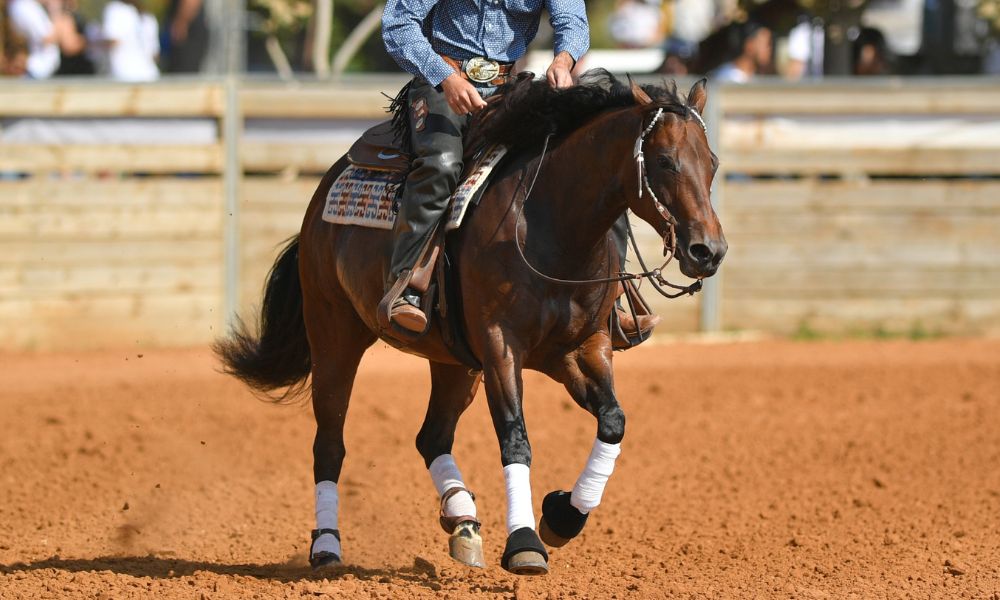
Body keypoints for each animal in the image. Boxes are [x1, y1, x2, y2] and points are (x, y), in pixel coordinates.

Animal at [215, 70, 727, 576]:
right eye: (664, 161)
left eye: (713, 163)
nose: (709, 251)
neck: (550, 224)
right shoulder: (502, 347)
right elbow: (515, 438)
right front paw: (525, 543)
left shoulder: (582, 347)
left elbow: (613, 421)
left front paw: (563, 515)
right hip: (333, 335)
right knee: (329, 445)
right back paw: (327, 547)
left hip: (454, 361)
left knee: (432, 436)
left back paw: (462, 519)